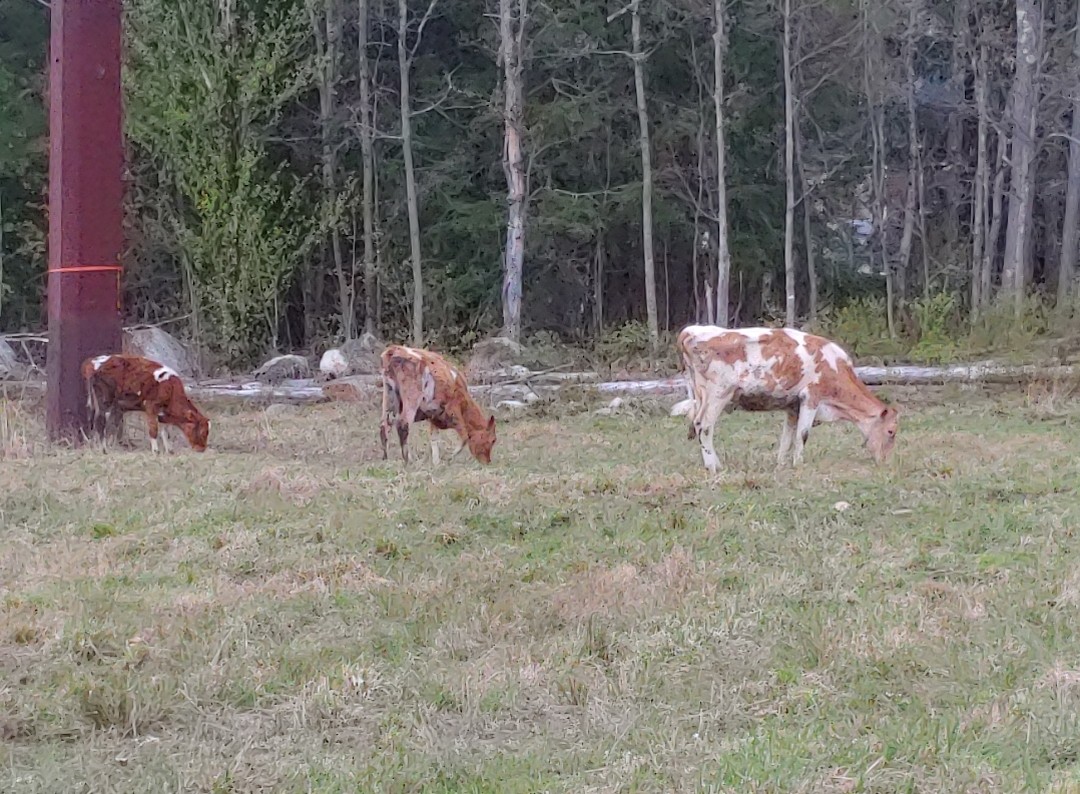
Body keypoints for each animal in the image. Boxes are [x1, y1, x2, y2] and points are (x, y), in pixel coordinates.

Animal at [81, 354, 209, 453]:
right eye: (203, 432)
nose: (202, 449)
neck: (170, 388)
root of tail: (94, 362)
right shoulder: (151, 407)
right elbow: (153, 430)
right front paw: (156, 451)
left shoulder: (162, 413)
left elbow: (166, 432)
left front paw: (170, 450)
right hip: (105, 401)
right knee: (100, 422)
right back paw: (104, 449)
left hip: (102, 404)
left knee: (99, 424)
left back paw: (102, 447)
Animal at [673, 326, 894, 475]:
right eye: (891, 432)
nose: (884, 462)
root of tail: (690, 331)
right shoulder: (811, 397)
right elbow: (802, 435)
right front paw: (799, 465)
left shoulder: (792, 407)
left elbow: (787, 437)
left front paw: (780, 465)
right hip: (718, 394)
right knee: (704, 425)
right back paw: (713, 466)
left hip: (701, 395)